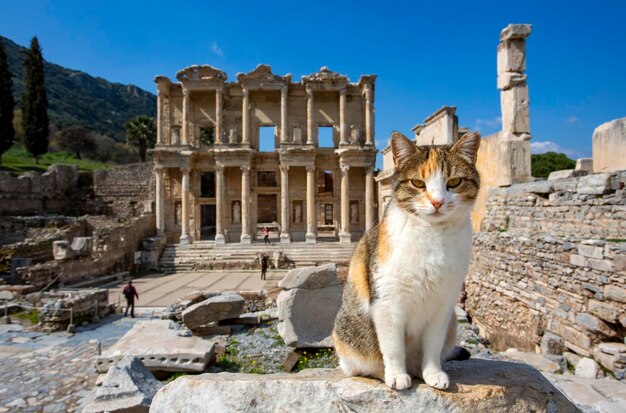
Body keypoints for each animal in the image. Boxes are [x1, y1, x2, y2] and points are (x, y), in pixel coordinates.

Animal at [332, 130, 478, 388]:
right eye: (418, 183)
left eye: (454, 182)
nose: (437, 202)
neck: (433, 236)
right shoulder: (388, 302)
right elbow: (392, 347)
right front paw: (397, 375)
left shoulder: (443, 304)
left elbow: (433, 344)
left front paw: (433, 373)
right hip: (345, 335)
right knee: (359, 366)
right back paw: (386, 373)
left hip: (452, 322)